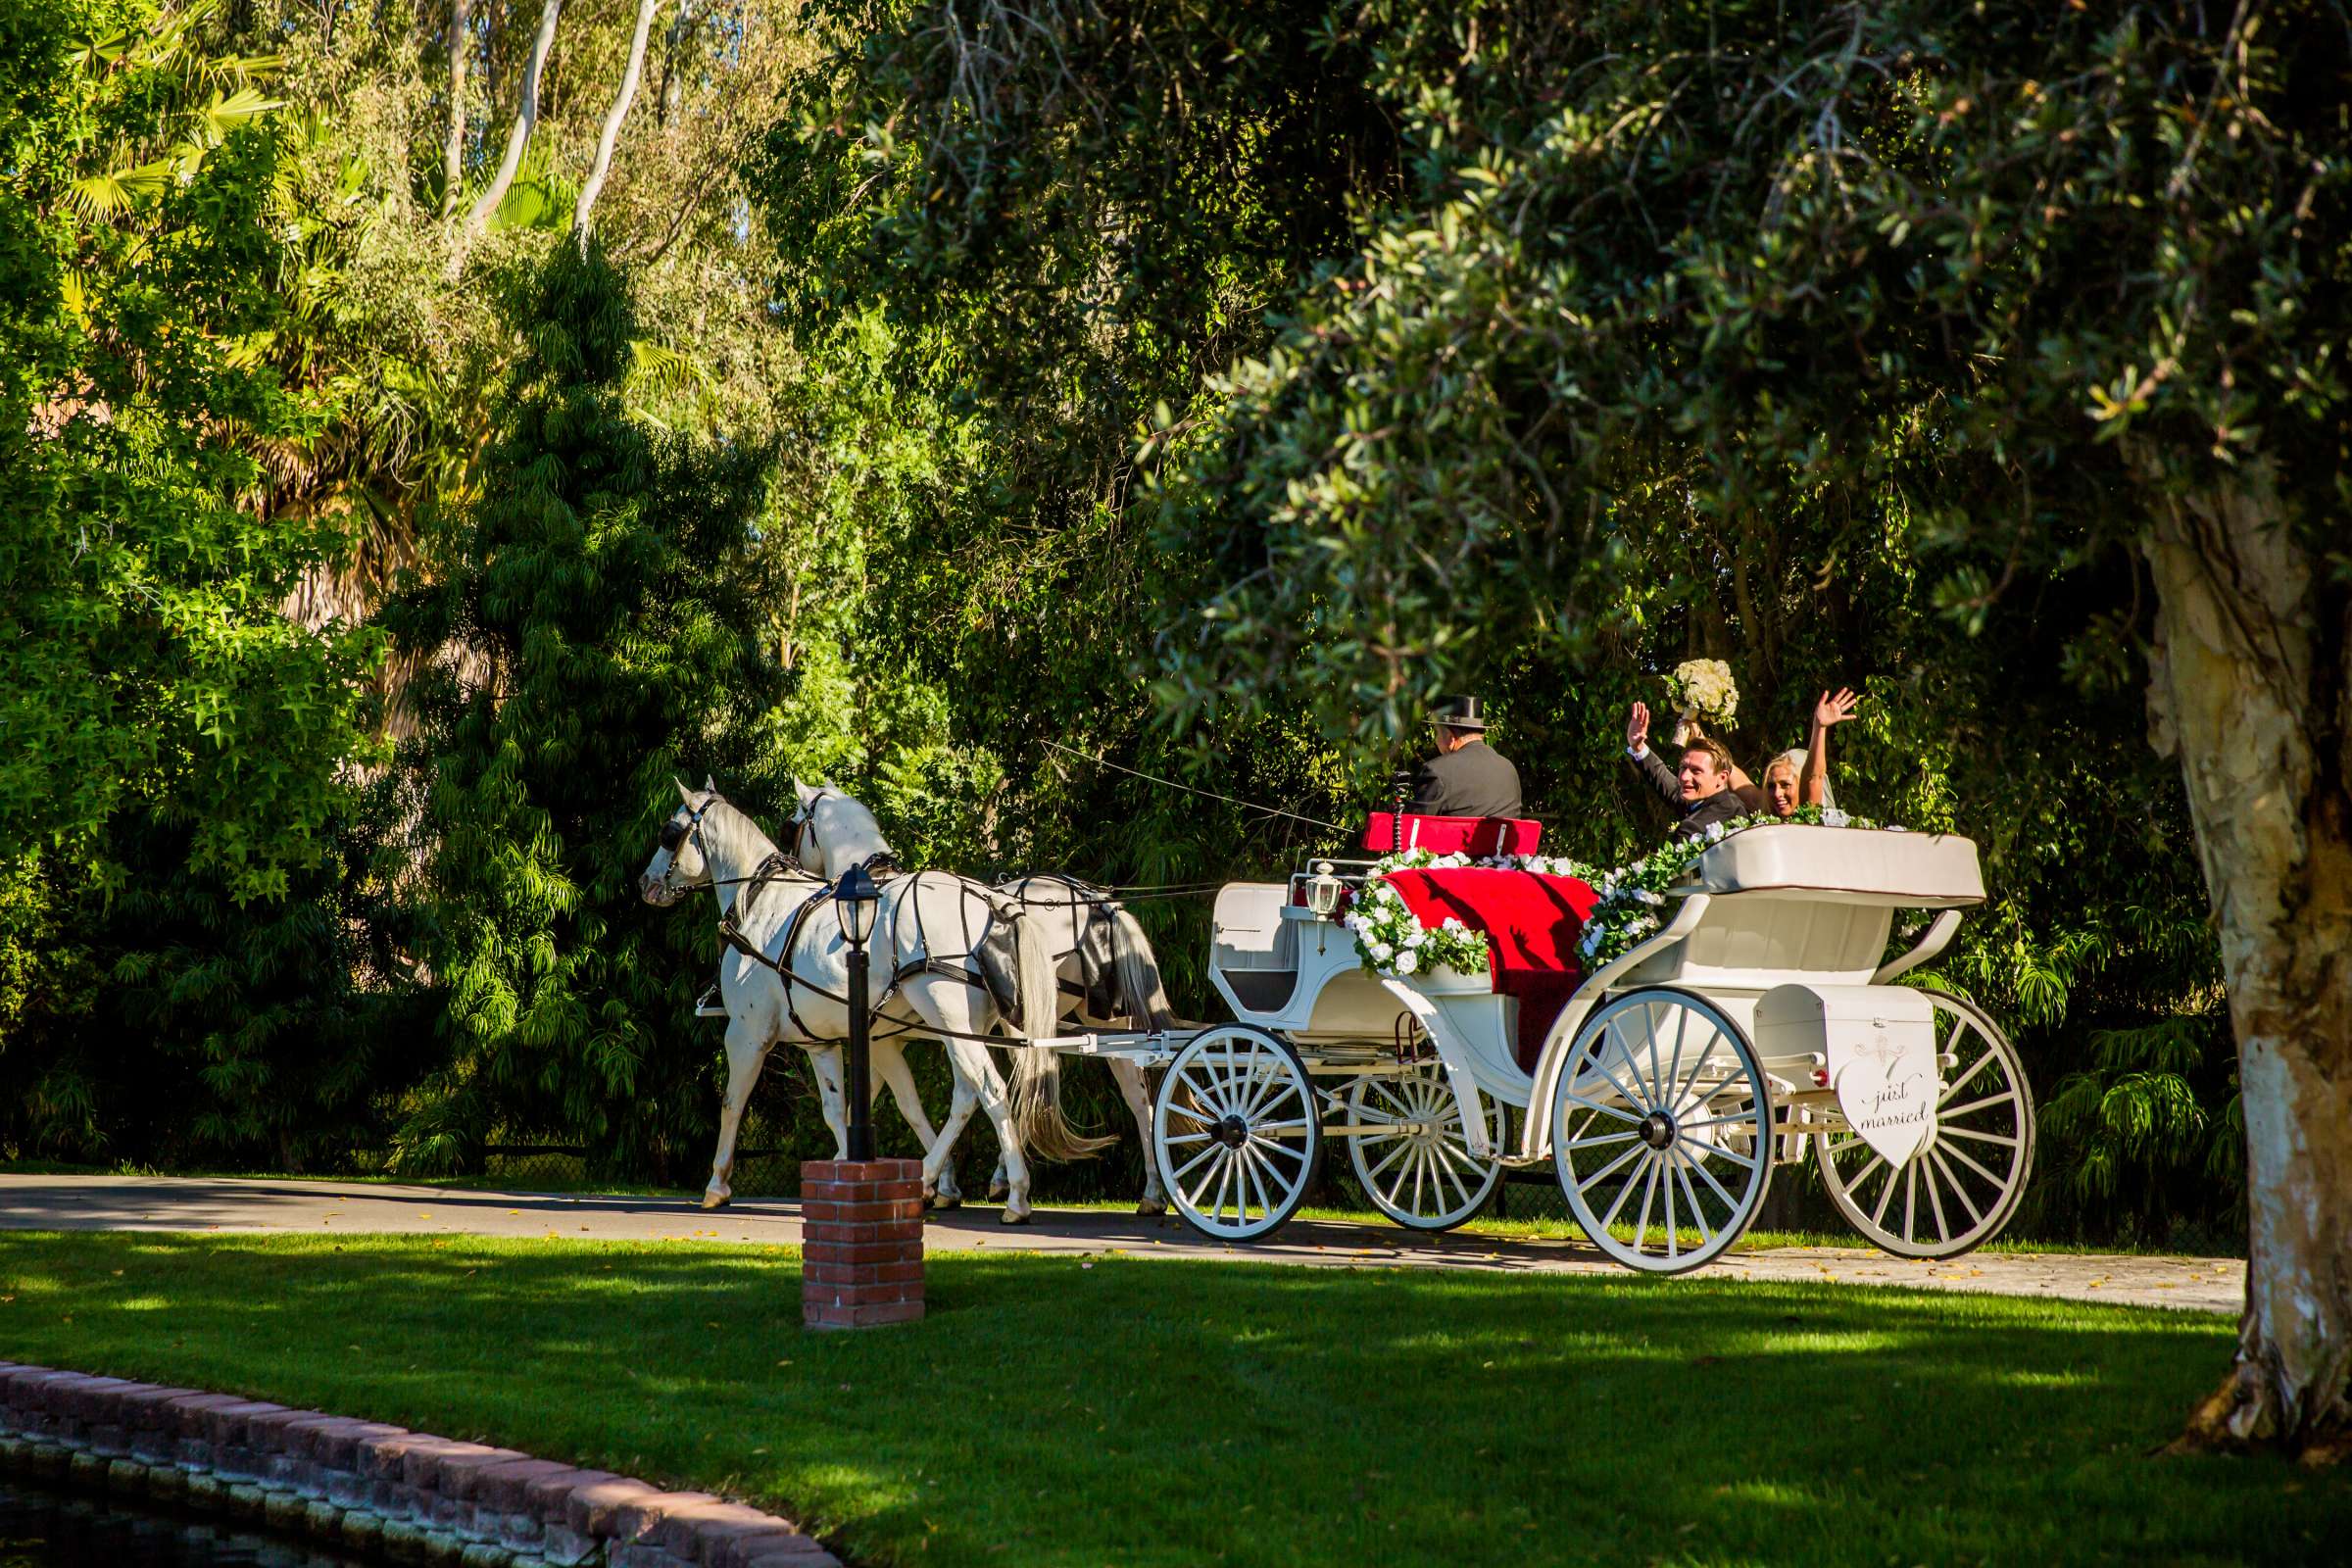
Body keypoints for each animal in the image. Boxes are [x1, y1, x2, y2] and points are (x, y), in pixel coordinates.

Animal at [639, 785, 1086, 1222]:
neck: (762, 904)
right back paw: (942, 1177)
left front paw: (717, 1185)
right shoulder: (826, 1041)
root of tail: (992, 903)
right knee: (971, 1093)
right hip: (970, 1029)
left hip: (949, 1021)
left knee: (991, 1090)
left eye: (669, 832)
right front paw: (849, 1167)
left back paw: (1015, 1196)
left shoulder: (746, 1035)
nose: (646, 882)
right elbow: (844, 1108)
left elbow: (733, 1103)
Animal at [790, 785, 1176, 1212]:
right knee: (1137, 1097)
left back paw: (1007, 1182)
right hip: (1099, 1020)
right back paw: (1151, 1192)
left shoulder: (886, 1036)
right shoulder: (891, 1037)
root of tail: (1096, 902)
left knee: (1024, 1081)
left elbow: (892, 1100)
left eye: (794, 824)